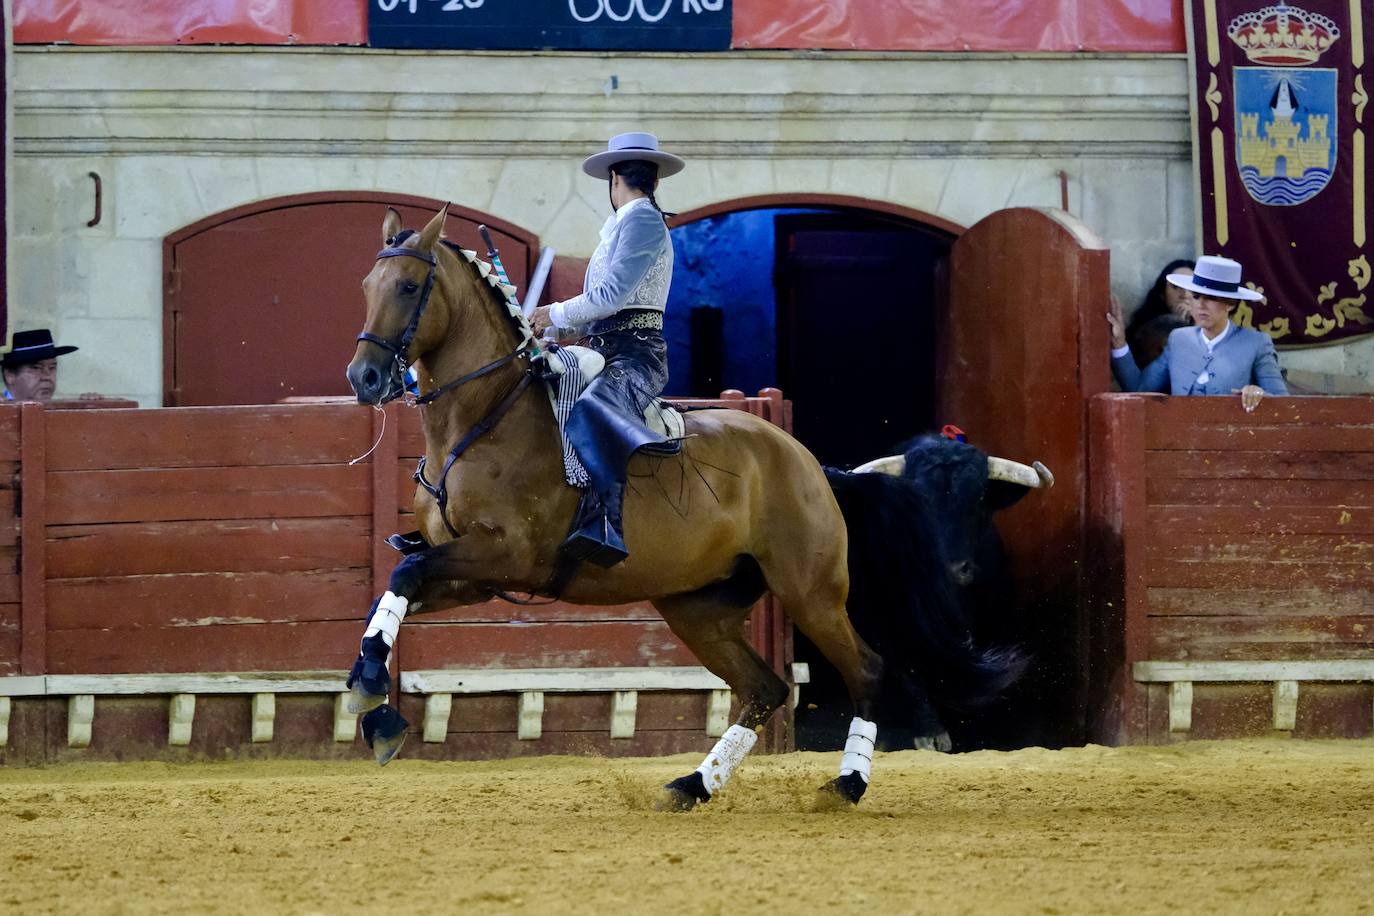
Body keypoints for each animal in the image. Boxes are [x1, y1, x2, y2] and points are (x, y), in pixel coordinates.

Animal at [338, 205, 1016, 807]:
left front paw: (371, 697)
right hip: (697, 607)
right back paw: (694, 785)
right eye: (366, 285)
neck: (483, 421)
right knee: (764, 687)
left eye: (408, 285)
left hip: (811, 594)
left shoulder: (506, 554)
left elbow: (403, 572)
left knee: (867, 671)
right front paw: (373, 700)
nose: (364, 377)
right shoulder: (475, 574)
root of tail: (810, 465)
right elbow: (394, 589)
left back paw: (845, 785)